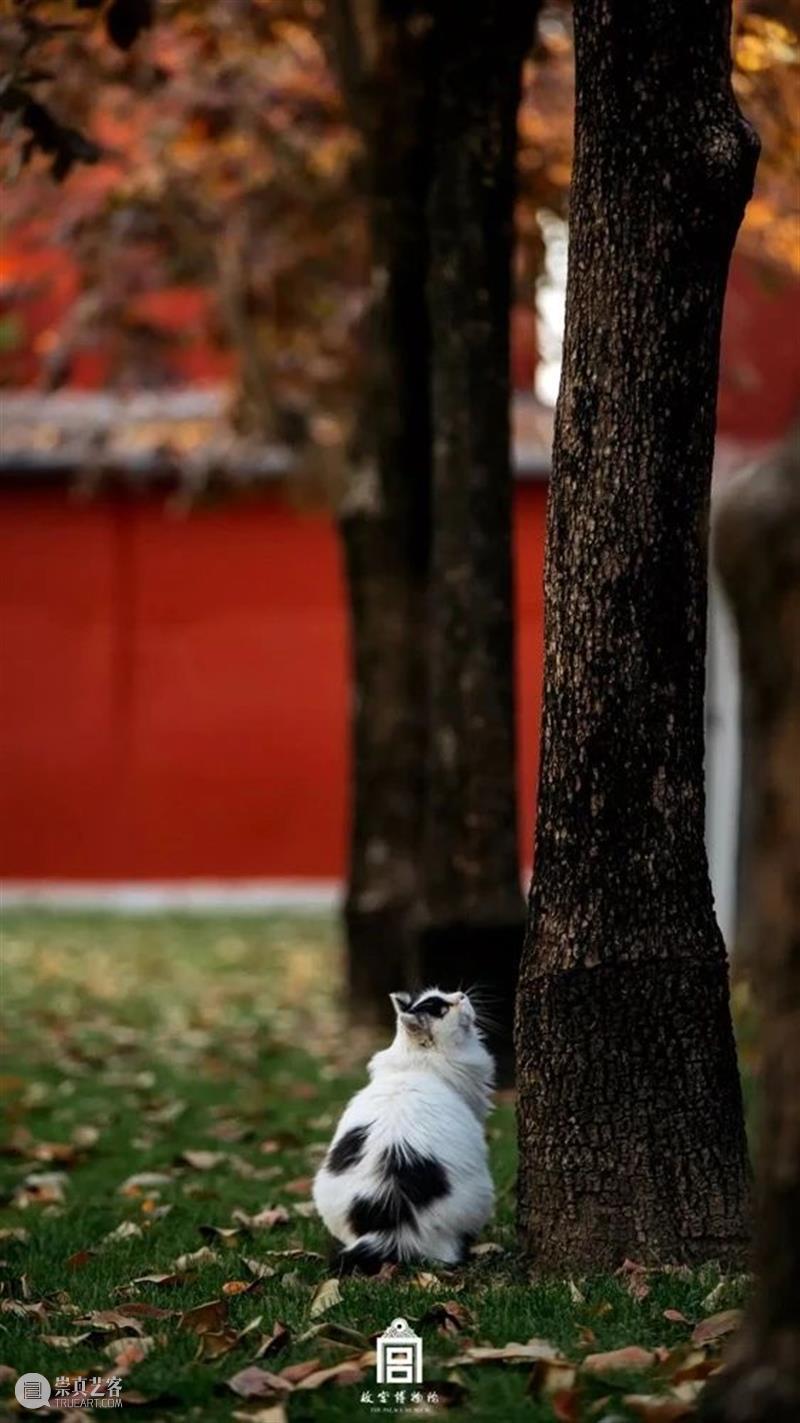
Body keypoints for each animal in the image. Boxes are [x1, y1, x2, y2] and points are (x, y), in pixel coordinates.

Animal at [311, 990, 492, 1280]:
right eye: (442, 1009)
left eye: (444, 994)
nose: (461, 995)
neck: (417, 1067)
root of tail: (391, 1221)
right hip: (481, 1195)